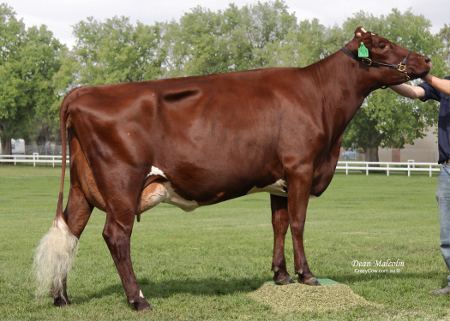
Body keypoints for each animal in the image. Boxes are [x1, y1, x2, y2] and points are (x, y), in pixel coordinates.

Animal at [32, 28, 428, 310]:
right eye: (382, 44)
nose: (425, 59)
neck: (320, 98)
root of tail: (83, 92)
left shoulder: (280, 180)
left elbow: (279, 224)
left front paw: (281, 276)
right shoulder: (301, 168)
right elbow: (298, 223)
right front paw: (307, 275)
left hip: (83, 188)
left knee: (71, 231)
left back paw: (62, 297)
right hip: (122, 184)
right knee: (115, 236)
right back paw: (138, 299)